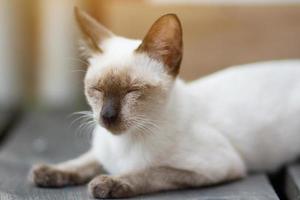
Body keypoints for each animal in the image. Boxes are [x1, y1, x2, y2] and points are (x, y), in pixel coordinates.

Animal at [29, 6, 300, 198]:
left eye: (132, 91)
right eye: (96, 89)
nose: (107, 116)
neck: (125, 143)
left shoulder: (217, 166)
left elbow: (149, 172)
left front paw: (109, 183)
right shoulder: (100, 151)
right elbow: (85, 161)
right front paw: (49, 172)